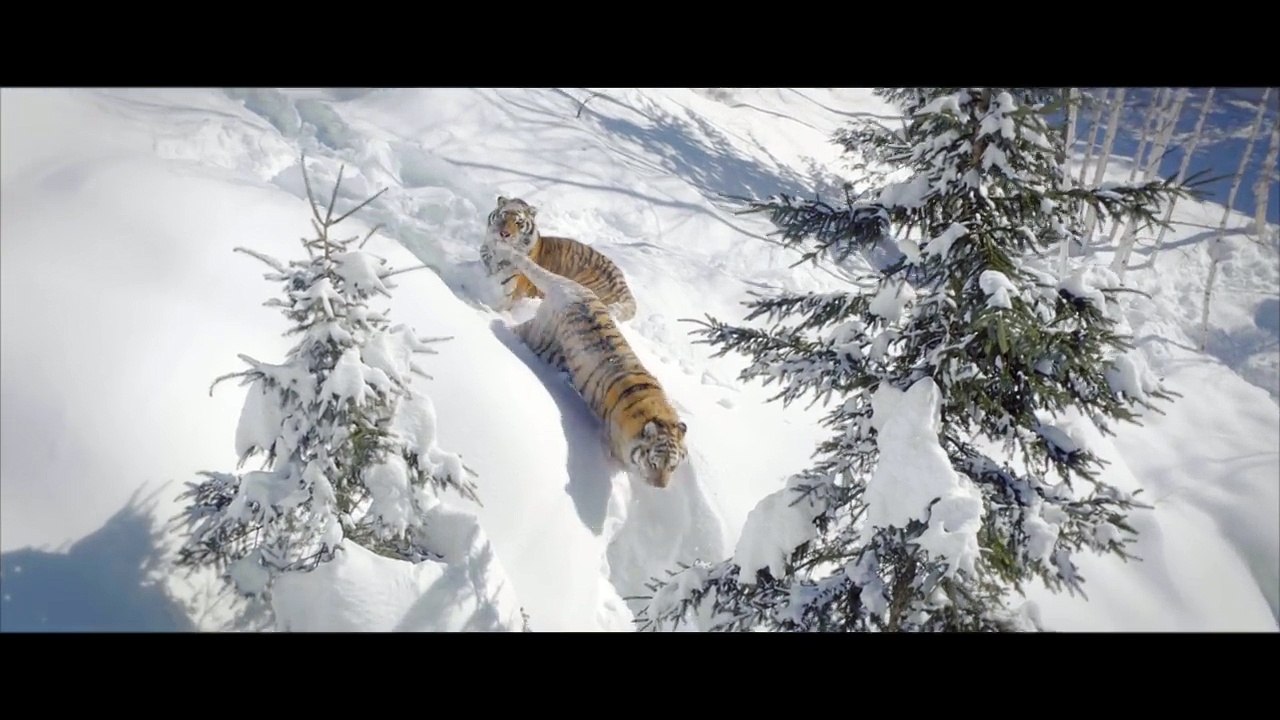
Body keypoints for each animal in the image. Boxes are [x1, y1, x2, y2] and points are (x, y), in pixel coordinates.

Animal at [480, 196, 638, 322]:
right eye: (503, 216)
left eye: (518, 223)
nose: (504, 234)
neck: (498, 252)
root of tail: (621, 281)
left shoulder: (515, 289)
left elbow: (504, 303)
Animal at [488, 242, 687, 488]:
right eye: (653, 463)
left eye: (672, 466)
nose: (660, 486)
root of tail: (572, 288)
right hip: (542, 339)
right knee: (515, 330)